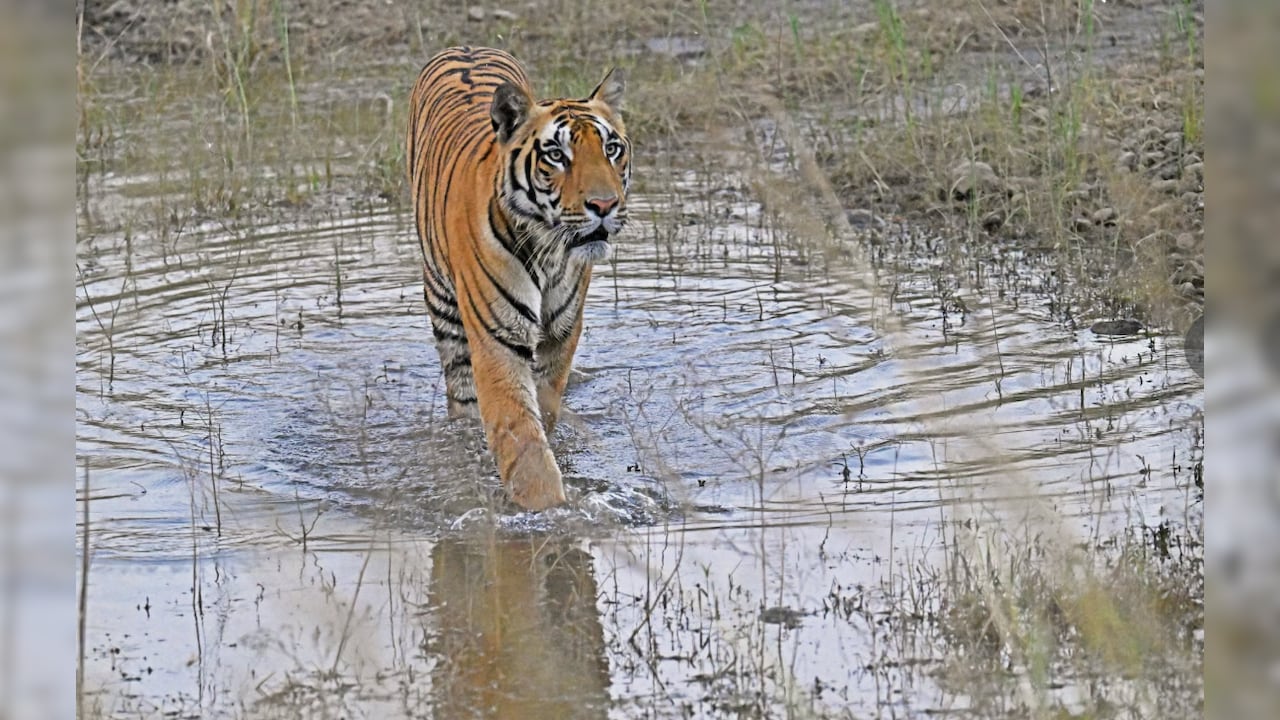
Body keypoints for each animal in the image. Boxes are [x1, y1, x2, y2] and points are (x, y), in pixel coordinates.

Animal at [406, 46, 630, 511]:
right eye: (557, 155)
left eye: (612, 148)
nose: (605, 205)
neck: (551, 253)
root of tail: (465, 47)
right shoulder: (499, 342)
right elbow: (524, 444)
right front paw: (550, 513)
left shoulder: (560, 335)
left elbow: (545, 410)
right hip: (443, 305)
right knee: (462, 397)